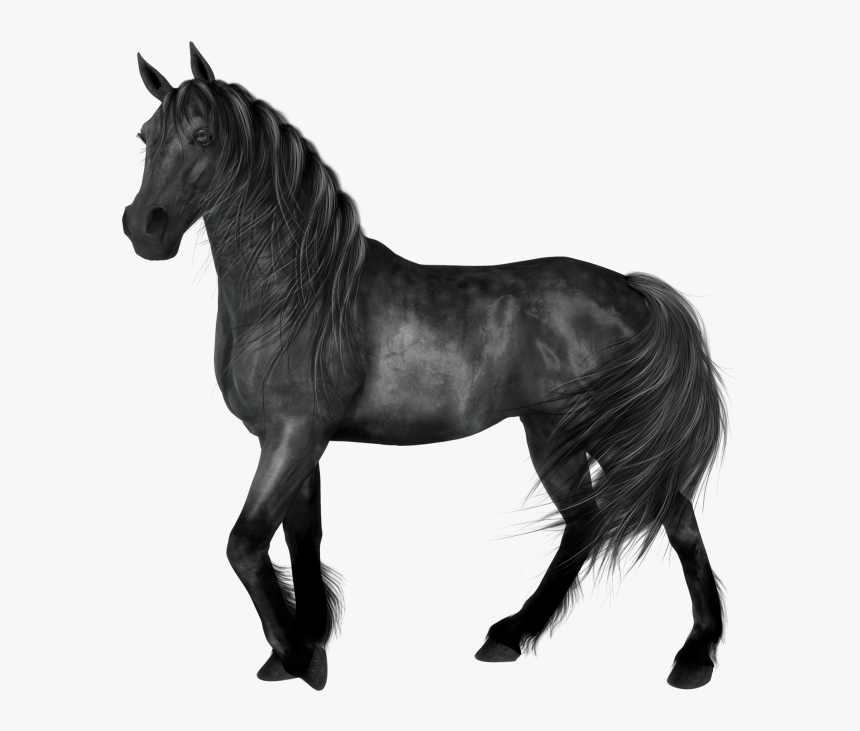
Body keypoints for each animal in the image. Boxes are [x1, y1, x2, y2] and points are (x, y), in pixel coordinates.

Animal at [123, 43, 727, 692]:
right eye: (145, 135)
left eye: (204, 136)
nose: (144, 228)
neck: (298, 293)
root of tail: (632, 292)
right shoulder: (294, 440)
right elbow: (303, 538)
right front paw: (307, 645)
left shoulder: (294, 435)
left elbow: (245, 544)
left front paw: (297, 656)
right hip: (550, 432)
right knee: (585, 524)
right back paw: (510, 635)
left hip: (610, 432)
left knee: (676, 519)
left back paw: (695, 654)